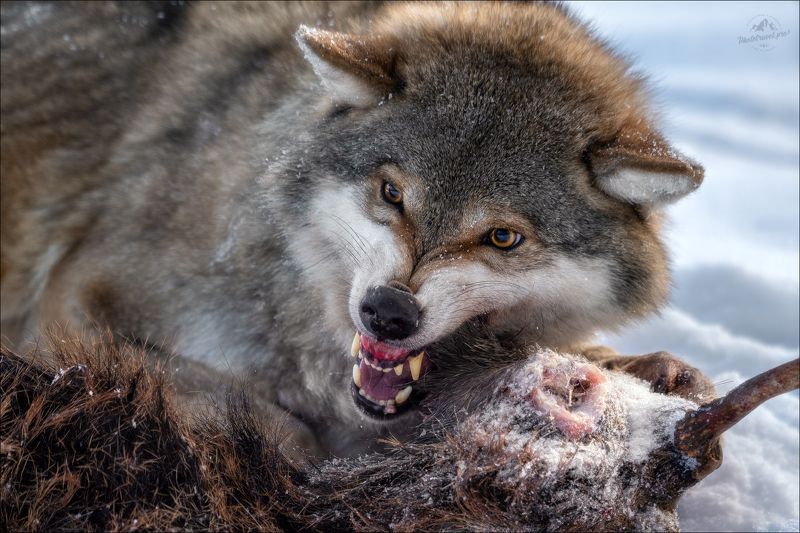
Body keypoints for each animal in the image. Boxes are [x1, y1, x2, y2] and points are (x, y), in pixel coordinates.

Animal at [1, 1, 706, 456]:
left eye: (503, 238)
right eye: (392, 194)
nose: (388, 312)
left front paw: (650, 370)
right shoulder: (72, 306)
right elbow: (268, 417)